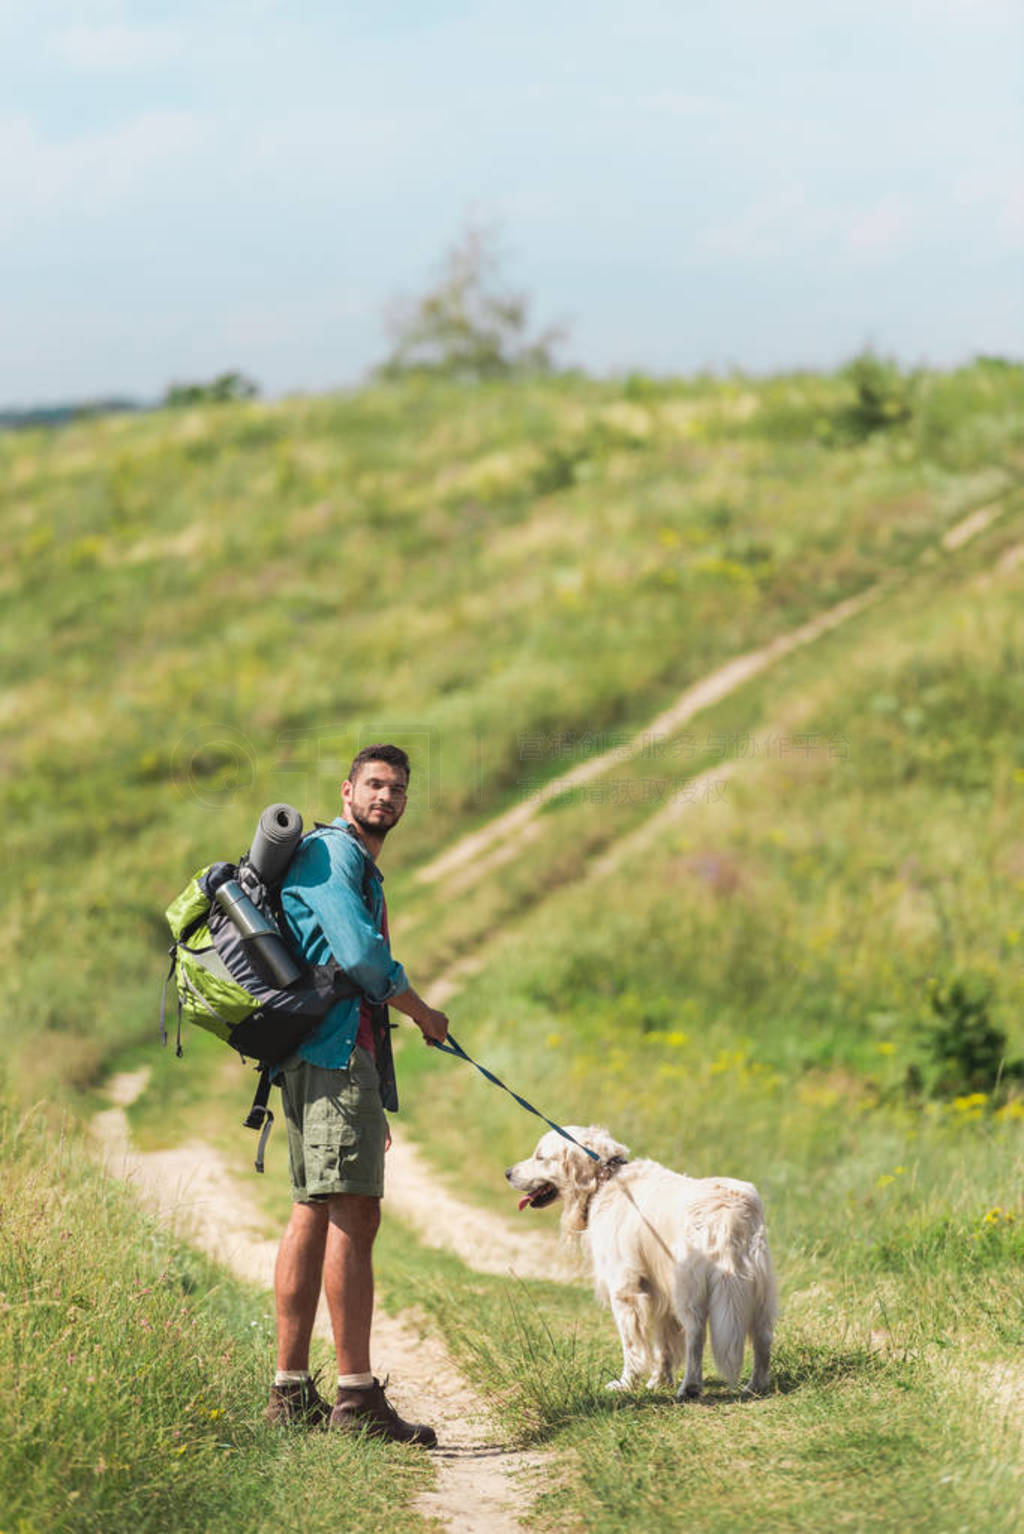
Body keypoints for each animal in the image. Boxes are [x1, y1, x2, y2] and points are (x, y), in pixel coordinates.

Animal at [502, 1122, 775, 1399]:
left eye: (540, 1157)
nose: (507, 1173)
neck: (604, 1179)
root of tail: (728, 1211)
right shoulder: (658, 1289)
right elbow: (663, 1345)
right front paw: (658, 1381)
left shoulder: (625, 1289)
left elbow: (632, 1345)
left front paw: (626, 1383)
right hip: (758, 1289)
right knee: (763, 1336)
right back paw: (755, 1385)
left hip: (688, 1288)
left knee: (696, 1335)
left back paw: (690, 1387)